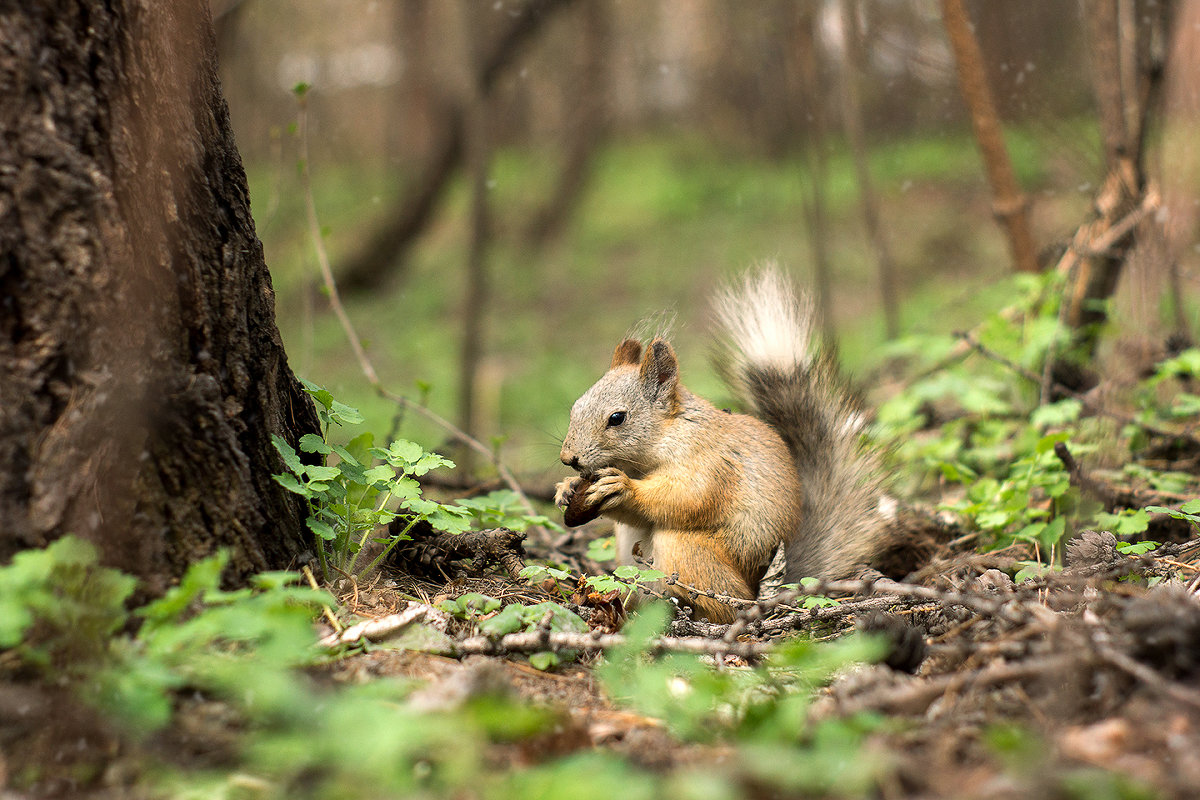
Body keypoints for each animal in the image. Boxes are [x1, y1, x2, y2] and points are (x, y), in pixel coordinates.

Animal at [552, 266, 892, 623]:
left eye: (617, 418)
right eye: (575, 406)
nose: (568, 458)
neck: (660, 441)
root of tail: (764, 592)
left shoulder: (711, 461)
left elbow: (687, 497)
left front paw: (624, 487)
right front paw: (566, 487)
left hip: (691, 555)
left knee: (726, 605)